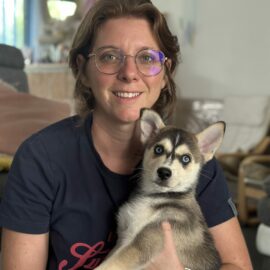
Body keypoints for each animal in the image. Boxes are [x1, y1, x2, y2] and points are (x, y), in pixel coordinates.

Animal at [96, 108, 225, 268]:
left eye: (186, 158)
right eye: (158, 149)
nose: (164, 172)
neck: (155, 196)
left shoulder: (146, 241)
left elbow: (112, 263)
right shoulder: (123, 238)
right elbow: (110, 258)